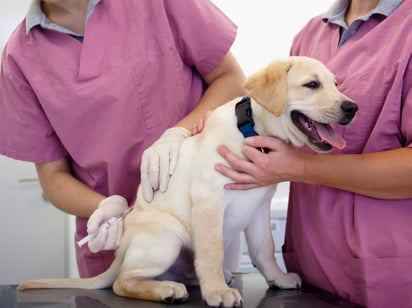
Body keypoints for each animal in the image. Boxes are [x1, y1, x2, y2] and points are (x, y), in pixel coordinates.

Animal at [18, 56, 358, 306]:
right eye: (312, 84)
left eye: (336, 84)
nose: (352, 108)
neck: (250, 133)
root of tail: (122, 248)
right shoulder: (209, 201)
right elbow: (212, 250)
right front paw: (217, 292)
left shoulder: (259, 208)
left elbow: (264, 249)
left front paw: (278, 278)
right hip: (167, 238)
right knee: (122, 282)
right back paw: (167, 289)